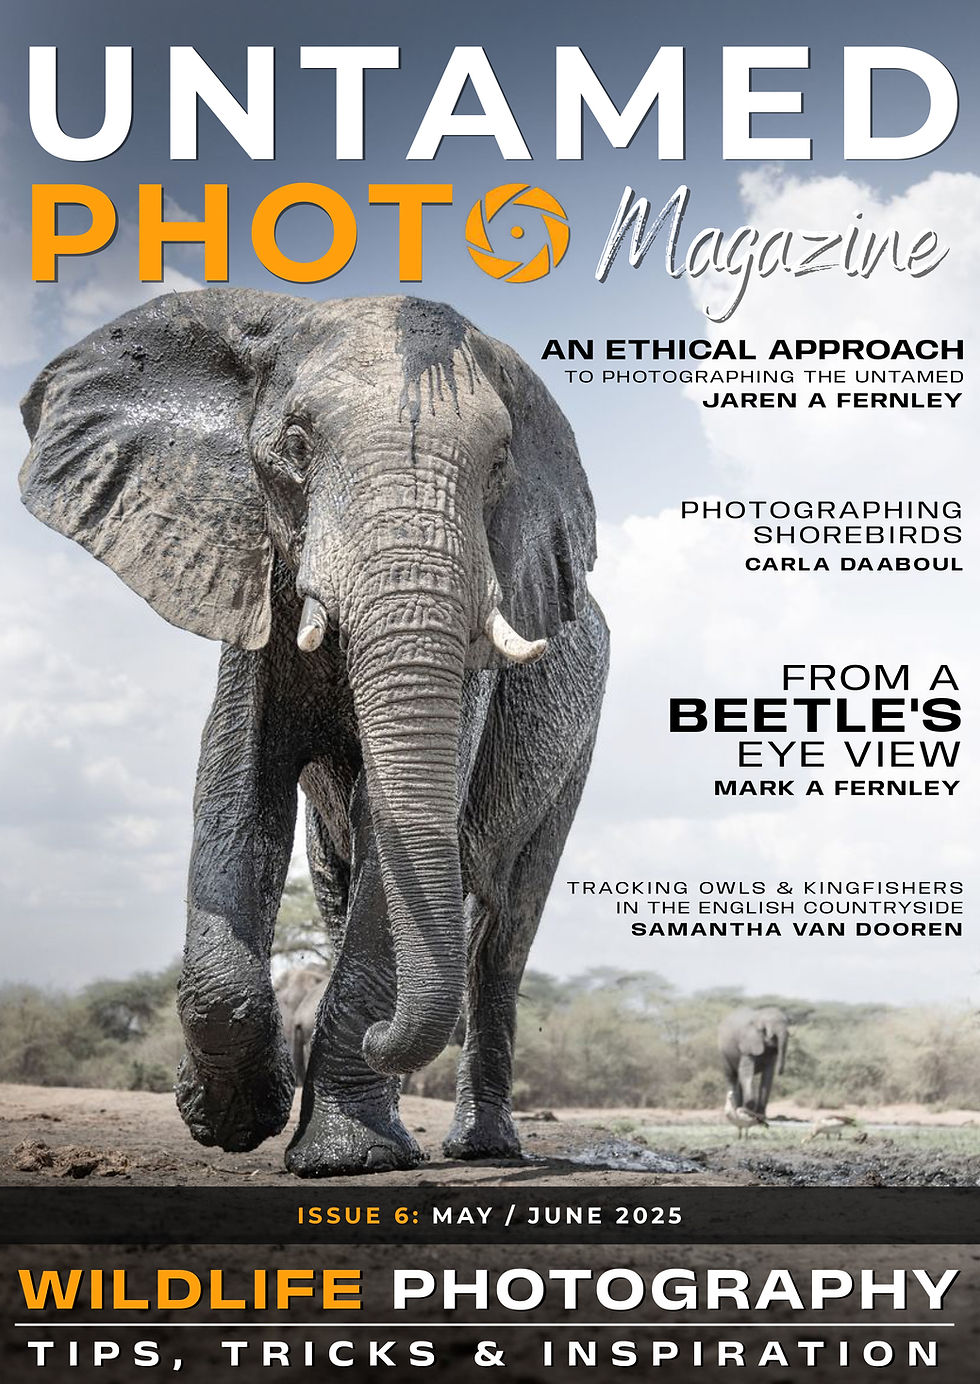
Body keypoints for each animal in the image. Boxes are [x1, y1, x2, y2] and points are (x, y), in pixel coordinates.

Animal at [19, 289, 609, 1177]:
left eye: (500, 464)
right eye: (296, 446)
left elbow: (386, 825)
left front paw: (343, 1159)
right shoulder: (248, 580)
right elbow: (238, 793)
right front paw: (232, 1119)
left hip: (576, 751)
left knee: (505, 933)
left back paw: (475, 1145)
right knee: (340, 883)